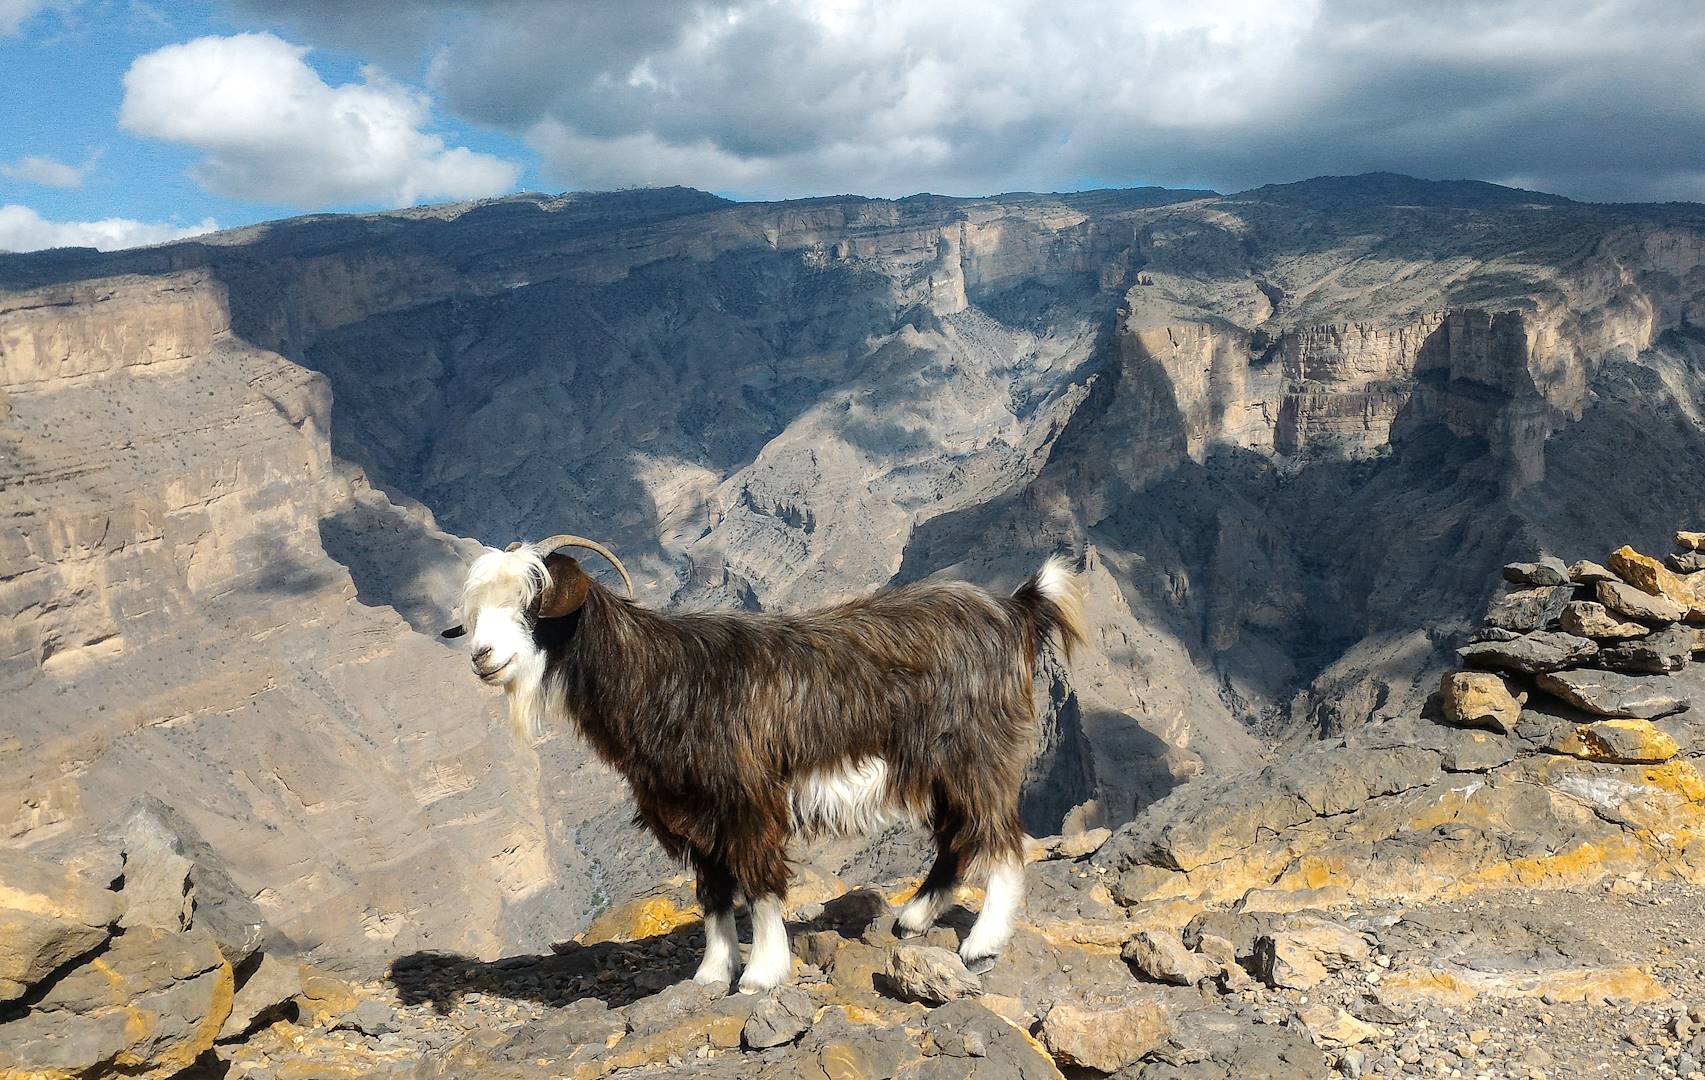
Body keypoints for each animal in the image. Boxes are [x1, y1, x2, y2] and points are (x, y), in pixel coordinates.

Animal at [441, 534, 1087, 993]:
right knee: (958, 837)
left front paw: (761, 974)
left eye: (533, 606)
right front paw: (710, 973)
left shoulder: (747, 801)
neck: (661, 677)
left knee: (1001, 839)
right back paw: (913, 919)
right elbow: (713, 893)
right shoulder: (692, 813)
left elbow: (759, 884)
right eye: (477, 611)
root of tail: (1014, 609)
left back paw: (982, 944)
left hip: (978, 754)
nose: (482, 656)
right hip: (941, 770)